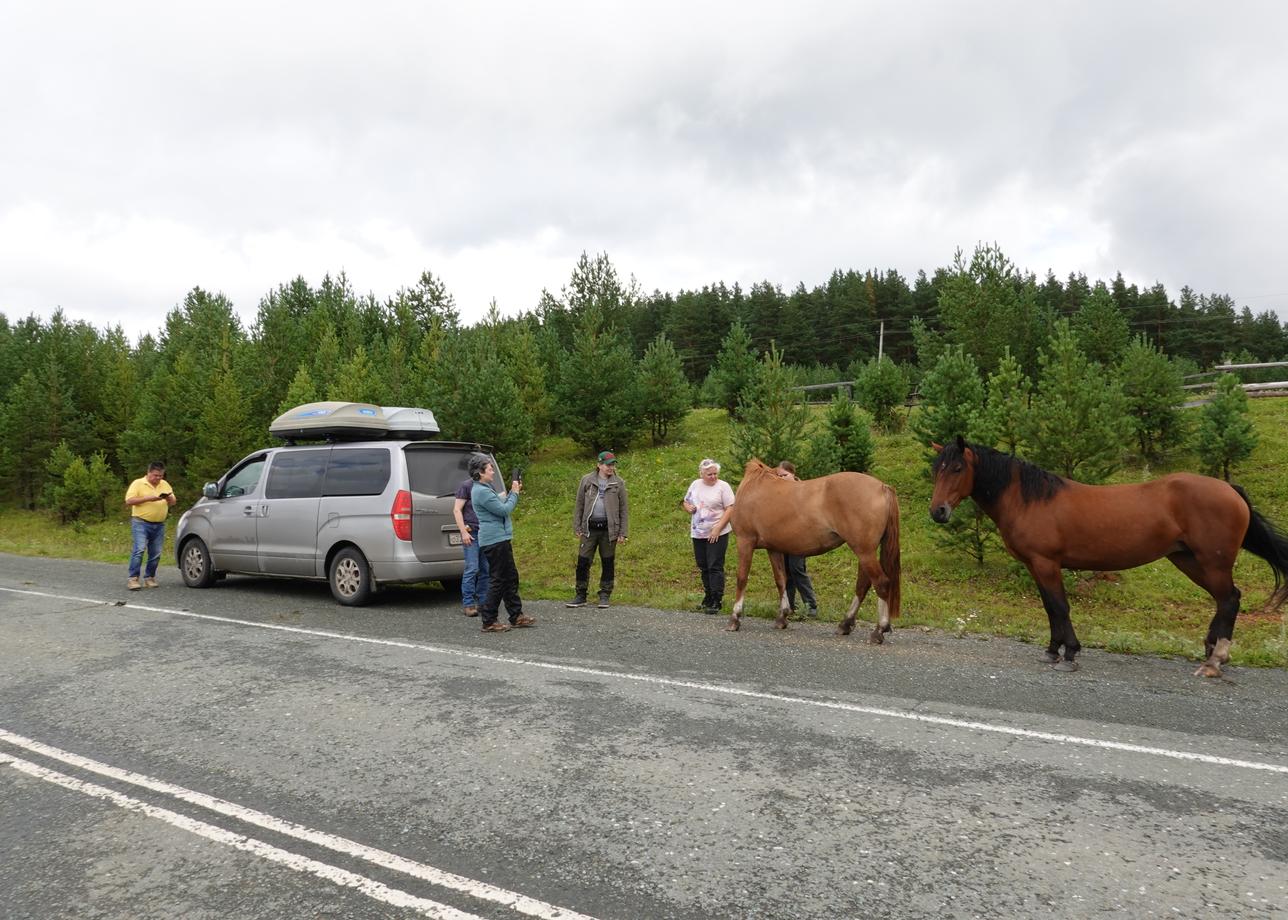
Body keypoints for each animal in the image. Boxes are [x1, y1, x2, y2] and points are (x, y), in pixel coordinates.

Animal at [726, 458, 906, 639]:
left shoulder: (745, 541)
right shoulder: (774, 548)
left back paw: (879, 630)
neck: (754, 485)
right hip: (865, 552)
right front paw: (782, 617)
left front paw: (735, 618)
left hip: (864, 551)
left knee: (881, 583)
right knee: (863, 585)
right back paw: (846, 624)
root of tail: (882, 487)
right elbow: (780, 580)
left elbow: (742, 578)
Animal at [932, 438, 1288, 675]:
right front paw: (1052, 651)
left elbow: (1060, 606)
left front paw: (1070, 654)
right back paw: (1211, 651)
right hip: (1189, 560)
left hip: (1212, 562)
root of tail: (1229, 489)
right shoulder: (1036, 566)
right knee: (1225, 599)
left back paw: (1215, 661)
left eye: (958, 468)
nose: (938, 512)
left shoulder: (1047, 563)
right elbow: (1050, 608)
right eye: (936, 470)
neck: (1030, 500)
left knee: (1229, 599)